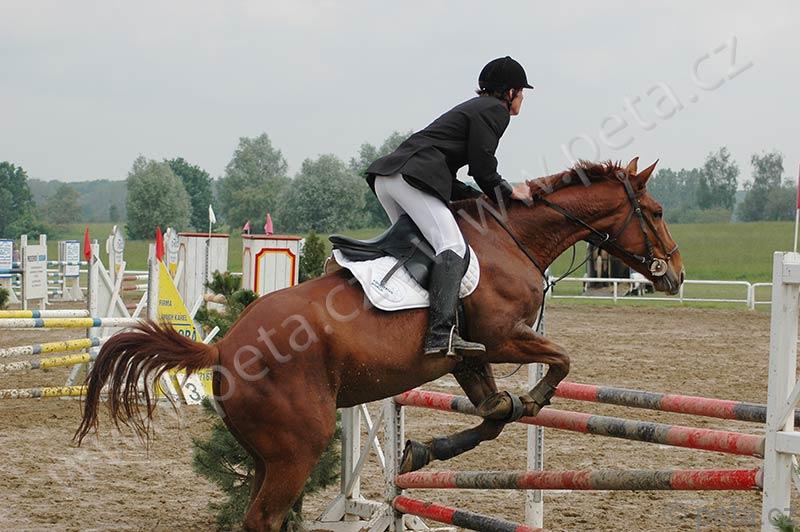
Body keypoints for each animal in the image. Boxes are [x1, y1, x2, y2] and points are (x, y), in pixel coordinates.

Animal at [75, 158, 683, 532]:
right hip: (299, 446)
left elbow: (494, 413)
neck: (511, 239)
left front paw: (420, 451)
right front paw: (535, 400)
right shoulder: (502, 338)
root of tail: (224, 349)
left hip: (267, 453)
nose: (675, 276)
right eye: (655, 212)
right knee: (265, 518)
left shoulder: (467, 356)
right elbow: (555, 365)